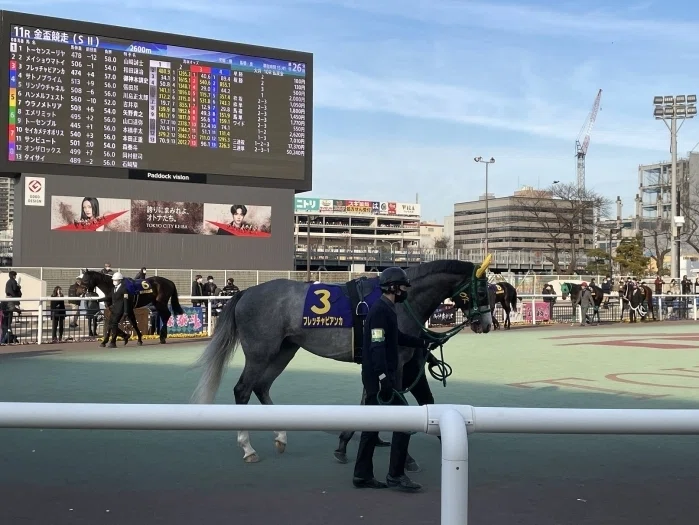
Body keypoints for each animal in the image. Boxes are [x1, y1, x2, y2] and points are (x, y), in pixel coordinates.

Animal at [190, 257, 494, 464]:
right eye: (481, 292)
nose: (487, 324)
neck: (398, 300)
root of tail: (245, 293)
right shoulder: (394, 363)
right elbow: (393, 402)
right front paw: (404, 456)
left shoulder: (376, 363)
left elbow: (370, 402)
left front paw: (347, 442)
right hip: (260, 351)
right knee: (243, 389)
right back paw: (248, 447)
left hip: (284, 350)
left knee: (261, 387)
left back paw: (280, 436)